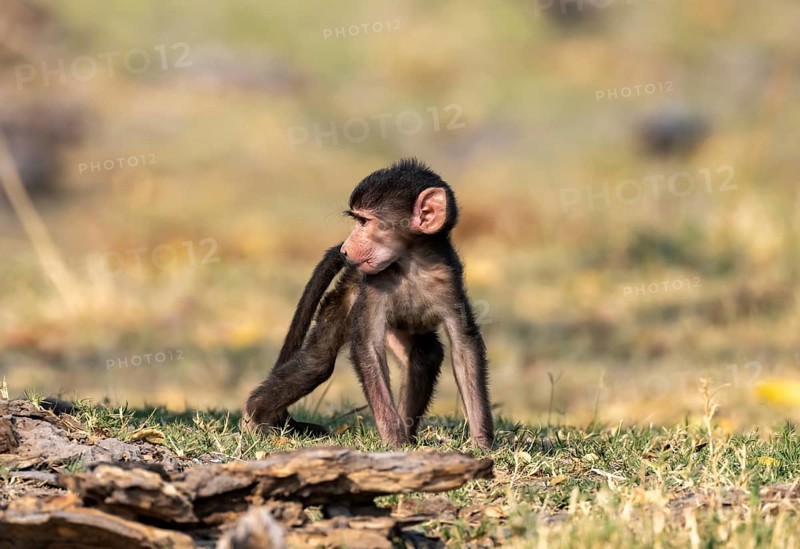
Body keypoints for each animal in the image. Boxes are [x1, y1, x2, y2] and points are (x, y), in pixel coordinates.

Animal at [243, 158, 493, 450]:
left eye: (364, 221)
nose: (345, 250)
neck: (411, 264)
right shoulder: (375, 284)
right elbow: (368, 348)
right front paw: (395, 442)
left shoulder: (449, 281)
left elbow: (464, 348)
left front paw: (482, 443)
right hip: (345, 298)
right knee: (317, 364)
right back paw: (256, 416)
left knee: (425, 355)